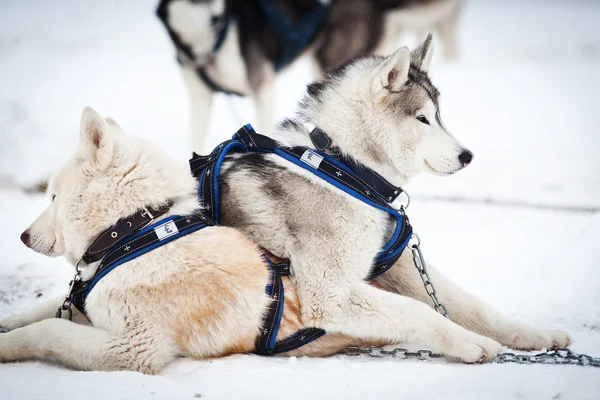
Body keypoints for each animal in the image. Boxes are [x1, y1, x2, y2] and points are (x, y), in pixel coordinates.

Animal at [214, 35, 572, 360]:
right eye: (422, 119)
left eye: (439, 116)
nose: (467, 156)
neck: (344, 167)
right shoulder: (330, 294)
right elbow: (416, 310)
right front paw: (470, 342)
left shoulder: (398, 265)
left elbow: (473, 306)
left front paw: (535, 334)